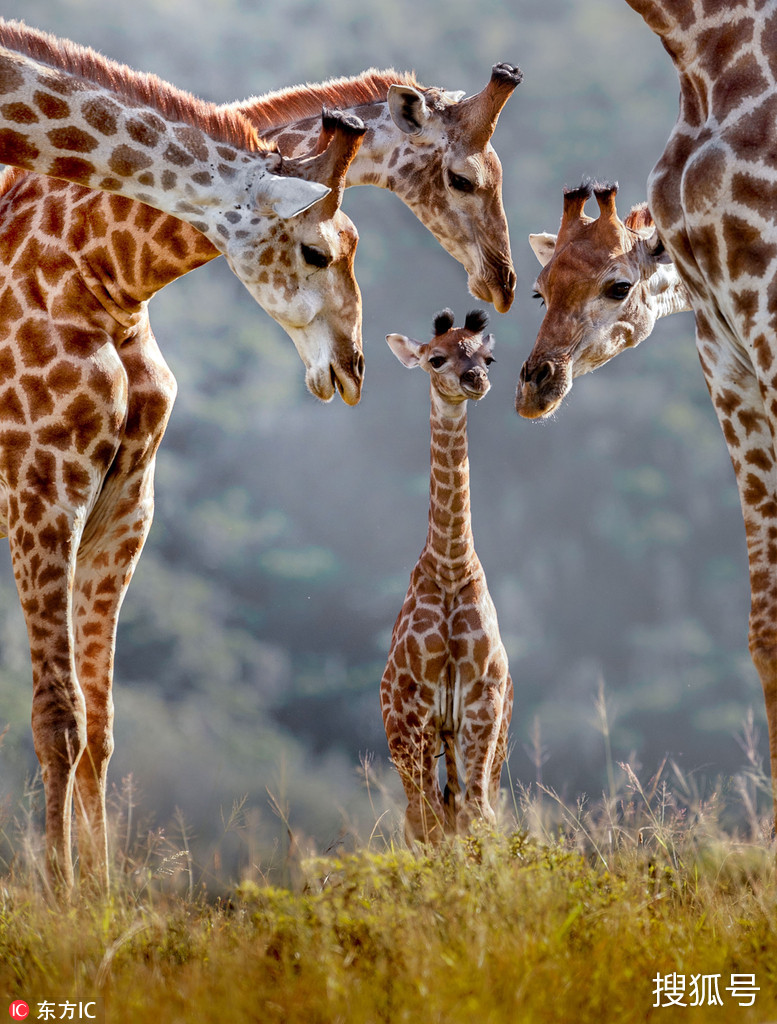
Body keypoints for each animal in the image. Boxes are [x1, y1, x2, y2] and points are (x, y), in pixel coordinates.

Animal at [380, 309, 513, 839]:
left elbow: (478, 813)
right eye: (436, 358)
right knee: (424, 817)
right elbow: (429, 821)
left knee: (464, 808)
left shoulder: (482, 701)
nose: (475, 380)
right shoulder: (414, 707)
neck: (452, 566)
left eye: (487, 357)